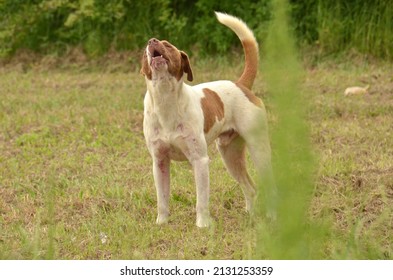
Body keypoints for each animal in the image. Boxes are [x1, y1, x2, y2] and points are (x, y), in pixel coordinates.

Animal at [141, 11, 272, 228]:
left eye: (168, 45)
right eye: (144, 53)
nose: (152, 41)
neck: (166, 101)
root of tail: (241, 84)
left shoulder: (199, 160)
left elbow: (201, 200)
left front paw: (202, 225)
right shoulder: (159, 162)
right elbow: (162, 199)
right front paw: (162, 223)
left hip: (259, 150)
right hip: (230, 155)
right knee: (251, 188)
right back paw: (251, 215)